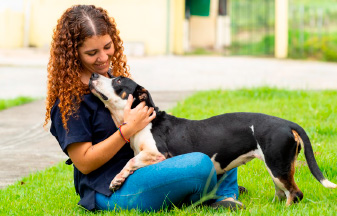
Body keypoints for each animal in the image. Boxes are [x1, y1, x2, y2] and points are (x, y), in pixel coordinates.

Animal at [88, 74, 334, 206]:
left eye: (118, 80)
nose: (93, 76)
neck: (144, 122)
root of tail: (287, 123)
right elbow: (132, 161)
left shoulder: (158, 155)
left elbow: (130, 162)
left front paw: (116, 180)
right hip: (277, 167)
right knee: (283, 193)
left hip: (277, 166)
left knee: (295, 193)